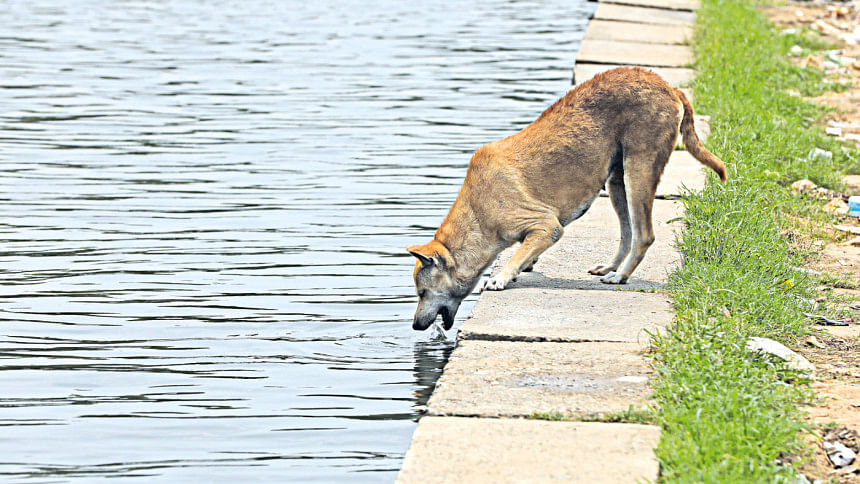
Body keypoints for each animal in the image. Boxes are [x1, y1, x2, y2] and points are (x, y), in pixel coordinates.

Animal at [407, 67, 726, 331]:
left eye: (422, 292)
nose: (414, 326)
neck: (477, 214)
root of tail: (669, 87)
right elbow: (526, 253)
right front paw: (522, 267)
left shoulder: (545, 225)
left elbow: (519, 252)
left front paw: (502, 276)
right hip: (616, 180)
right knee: (627, 232)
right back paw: (610, 268)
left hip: (639, 170)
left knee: (643, 234)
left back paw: (620, 276)